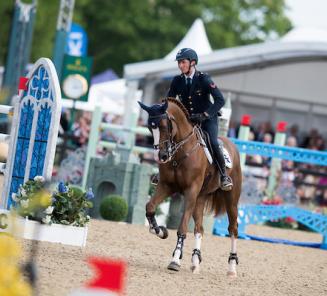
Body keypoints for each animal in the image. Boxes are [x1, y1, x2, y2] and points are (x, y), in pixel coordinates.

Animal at [138, 98, 241, 276]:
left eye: (164, 126)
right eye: (150, 128)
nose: (162, 156)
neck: (179, 151)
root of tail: (232, 145)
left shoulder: (191, 191)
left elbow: (182, 227)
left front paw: (175, 259)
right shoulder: (166, 186)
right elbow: (150, 207)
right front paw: (160, 231)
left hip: (231, 199)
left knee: (233, 229)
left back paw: (232, 268)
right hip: (200, 198)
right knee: (199, 228)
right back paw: (195, 262)